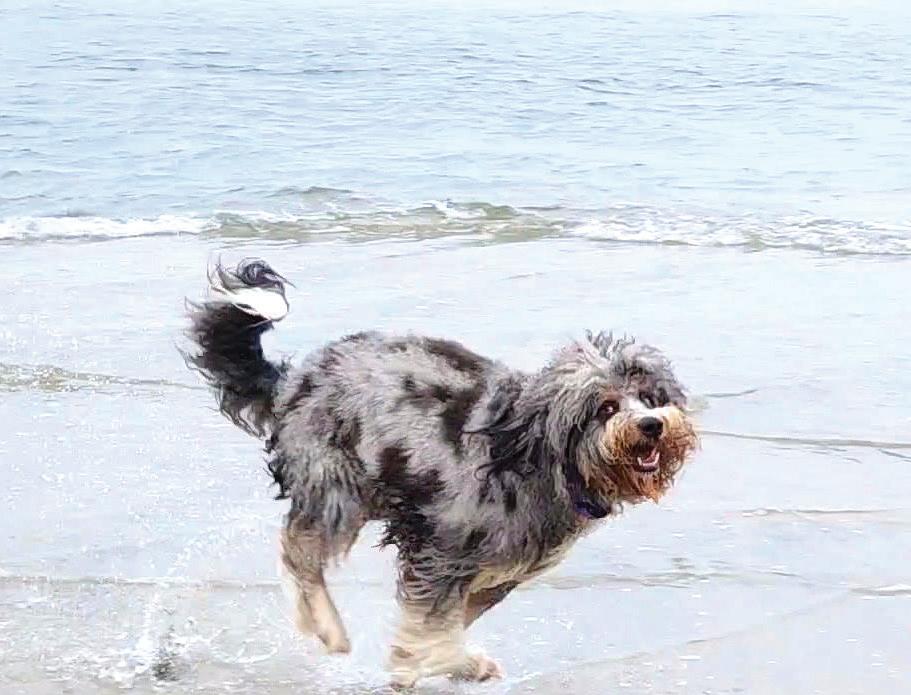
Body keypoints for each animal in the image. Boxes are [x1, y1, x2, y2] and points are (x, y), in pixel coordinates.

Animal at [184, 259, 698, 688]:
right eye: (606, 407)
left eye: (651, 397)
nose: (651, 425)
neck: (534, 455)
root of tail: (293, 380)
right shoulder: (442, 551)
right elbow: (433, 627)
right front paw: (433, 664)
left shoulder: (497, 571)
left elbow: (448, 622)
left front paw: (427, 663)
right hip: (335, 487)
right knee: (297, 551)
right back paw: (329, 629)